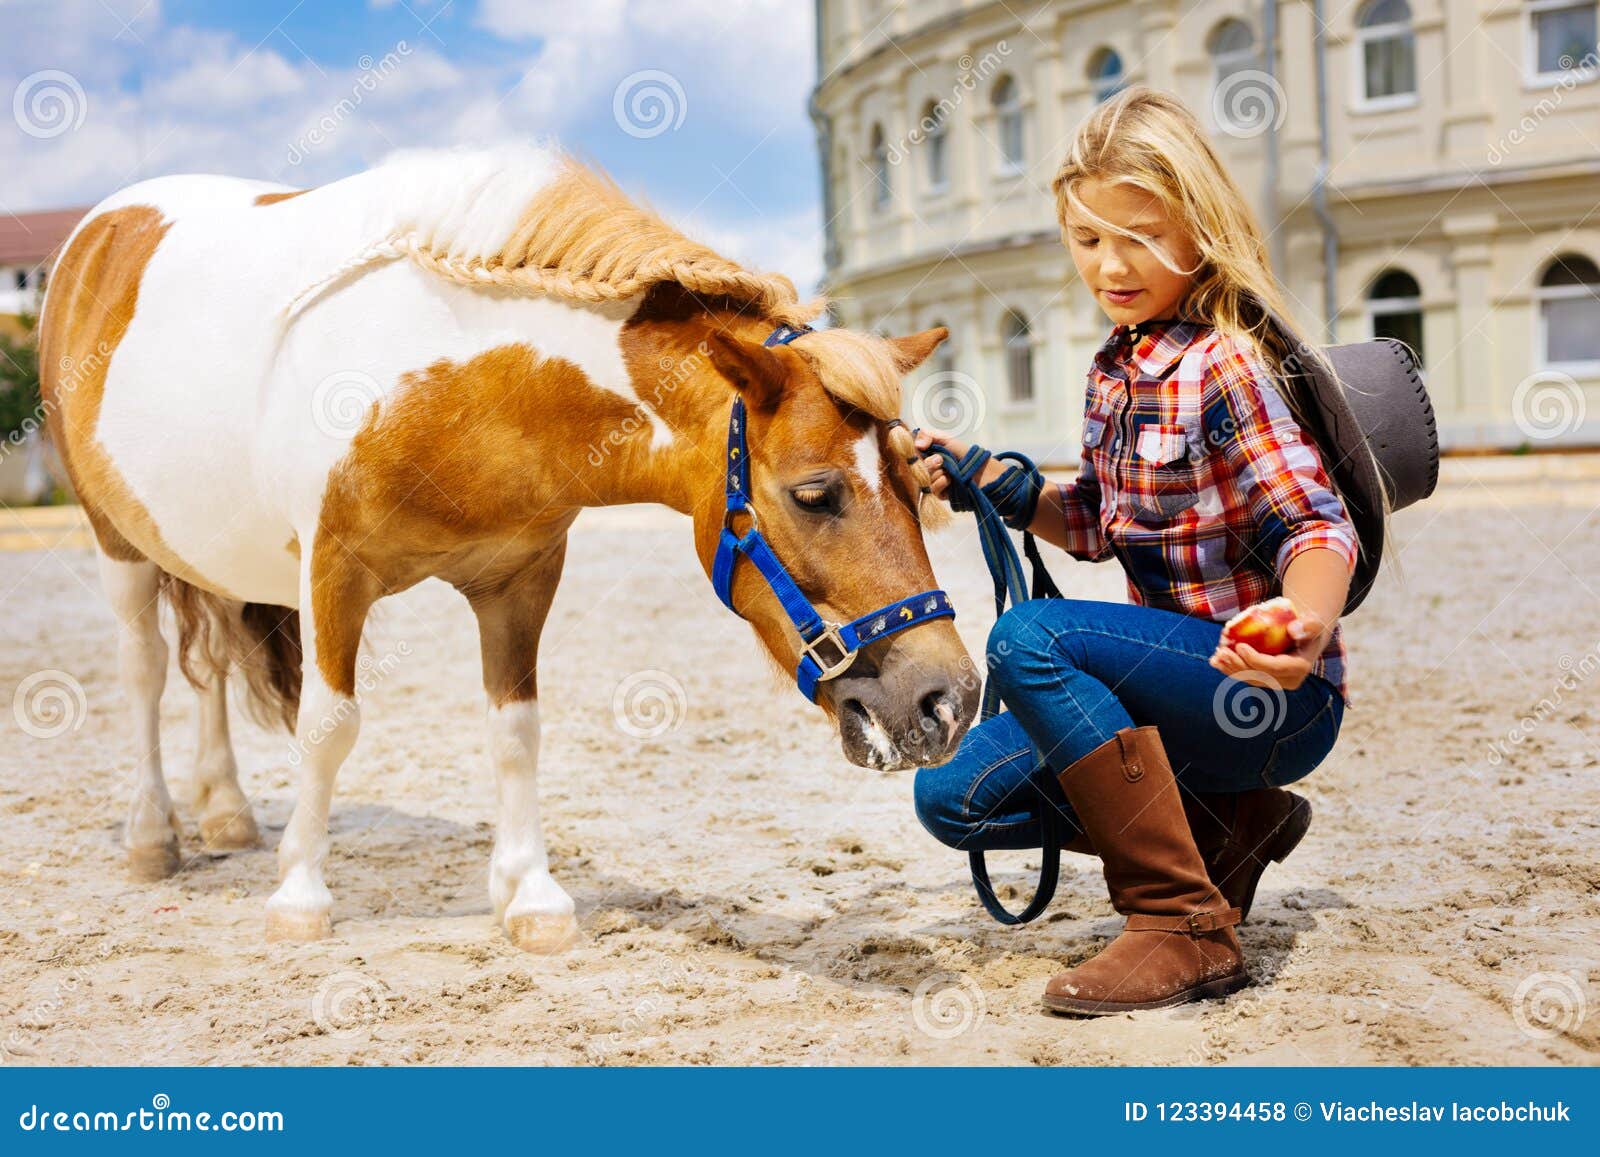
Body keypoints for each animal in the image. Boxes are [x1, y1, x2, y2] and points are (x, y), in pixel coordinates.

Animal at [37, 144, 979, 953]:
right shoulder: (332, 570)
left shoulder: (520, 578)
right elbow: (329, 725)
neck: (459, 383)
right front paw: (300, 895)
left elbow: (515, 729)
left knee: (212, 664)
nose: (950, 700)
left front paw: (529, 896)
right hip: (117, 542)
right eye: (815, 493)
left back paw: (227, 811)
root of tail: (96, 234)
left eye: (917, 481)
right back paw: (152, 835)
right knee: (145, 670)